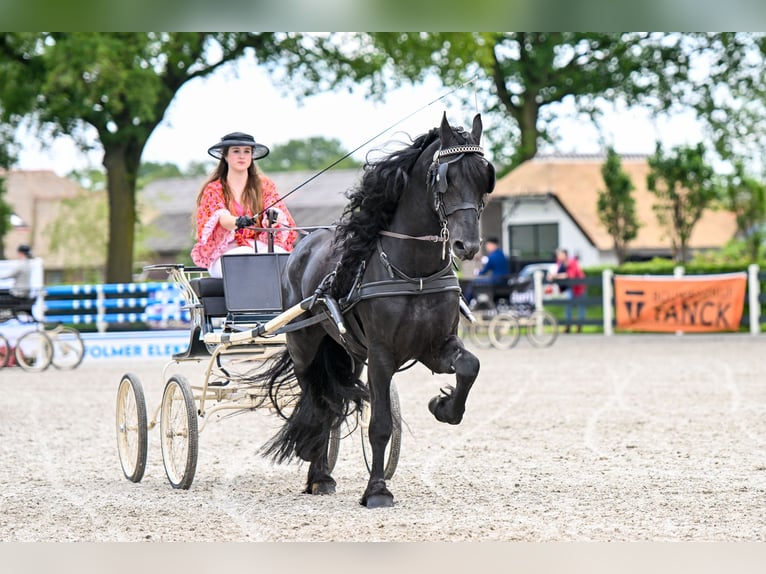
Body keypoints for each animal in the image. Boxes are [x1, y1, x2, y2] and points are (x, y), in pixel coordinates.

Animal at [256, 112, 498, 508]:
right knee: (317, 400)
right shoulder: (382, 355)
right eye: (446, 177)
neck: (415, 272)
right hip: (305, 346)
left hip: (348, 353)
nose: (468, 245)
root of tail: (304, 245)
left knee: (331, 402)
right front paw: (377, 490)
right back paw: (316, 468)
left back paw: (320, 474)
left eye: (483, 177)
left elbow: (469, 366)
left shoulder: (436, 346)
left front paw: (444, 406)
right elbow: (381, 425)